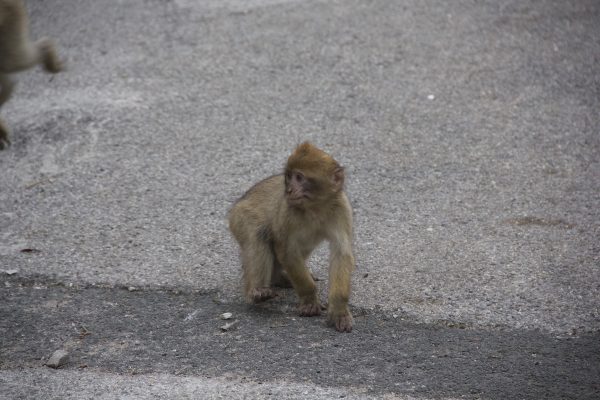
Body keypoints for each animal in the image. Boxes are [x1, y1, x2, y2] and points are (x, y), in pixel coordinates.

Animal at [227, 142, 354, 332]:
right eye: (289, 177)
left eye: (299, 178)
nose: (288, 190)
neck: (315, 208)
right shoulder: (287, 211)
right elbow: (286, 250)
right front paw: (309, 299)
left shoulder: (341, 208)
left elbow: (341, 253)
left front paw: (339, 310)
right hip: (240, 216)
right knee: (259, 235)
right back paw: (257, 291)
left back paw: (279, 278)